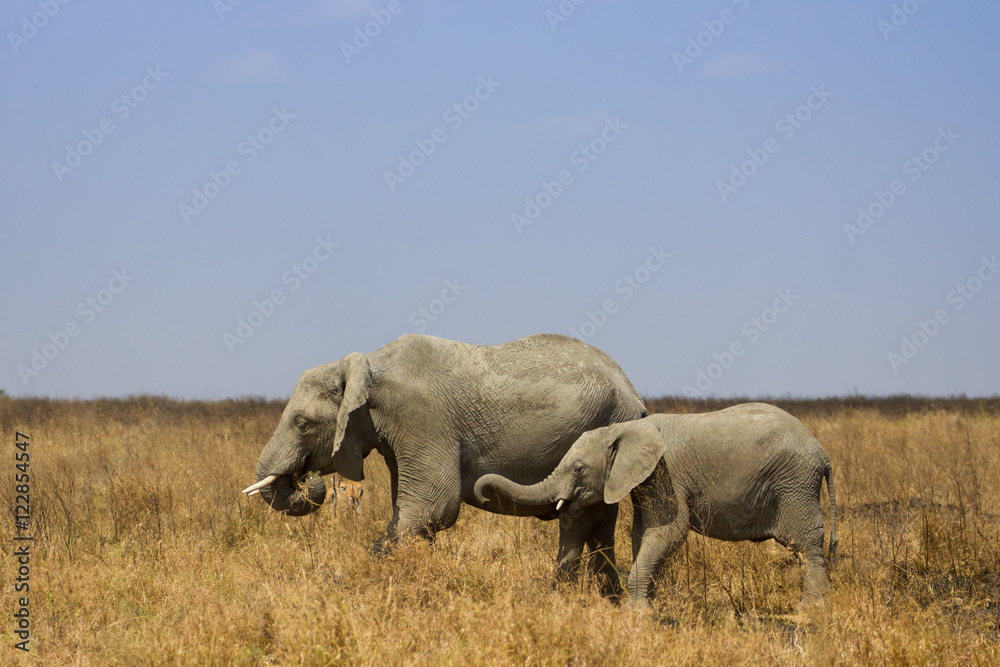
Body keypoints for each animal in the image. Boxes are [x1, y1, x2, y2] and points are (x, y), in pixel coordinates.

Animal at [241, 333, 645, 598]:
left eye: (302, 424)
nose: (308, 479)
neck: (368, 365)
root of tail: (634, 393)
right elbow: (411, 511)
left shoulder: (423, 418)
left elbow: (432, 507)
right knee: (599, 523)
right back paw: (608, 601)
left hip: (604, 426)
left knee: (579, 517)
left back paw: (561, 598)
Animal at [475, 403, 837, 610]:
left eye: (578, 469)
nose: (482, 493)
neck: (624, 429)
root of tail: (823, 453)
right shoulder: (647, 480)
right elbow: (642, 534)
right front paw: (651, 604)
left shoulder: (667, 474)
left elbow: (668, 533)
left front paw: (637, 613)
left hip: (796, 485)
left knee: (806, 544)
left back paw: (809, 612)